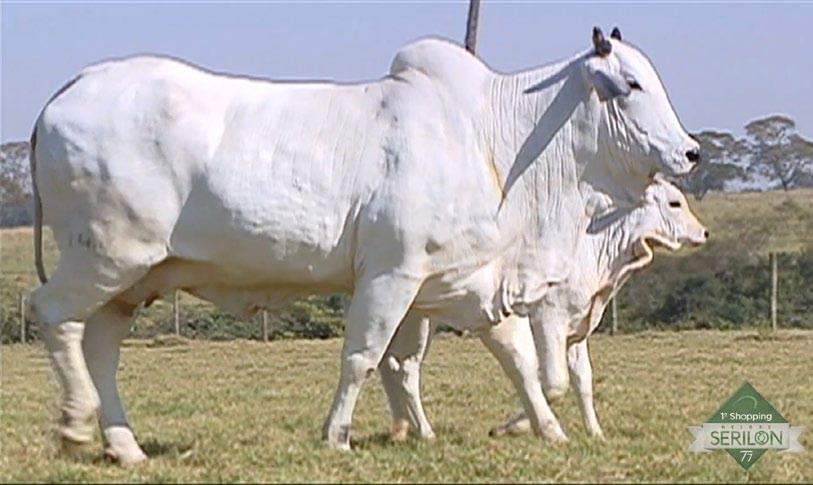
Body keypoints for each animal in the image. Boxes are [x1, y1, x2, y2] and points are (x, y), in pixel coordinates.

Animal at [384, 176, 708, 440]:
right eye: (674, 202)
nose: (704, 233)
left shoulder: (576, 330)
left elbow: (583, 380)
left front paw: (595, 432)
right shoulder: (548, 319)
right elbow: (554, 382)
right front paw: (510, 427)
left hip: (417, 319)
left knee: (393, 366)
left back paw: (403, 430)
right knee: (406, 369)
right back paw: (423, 431)